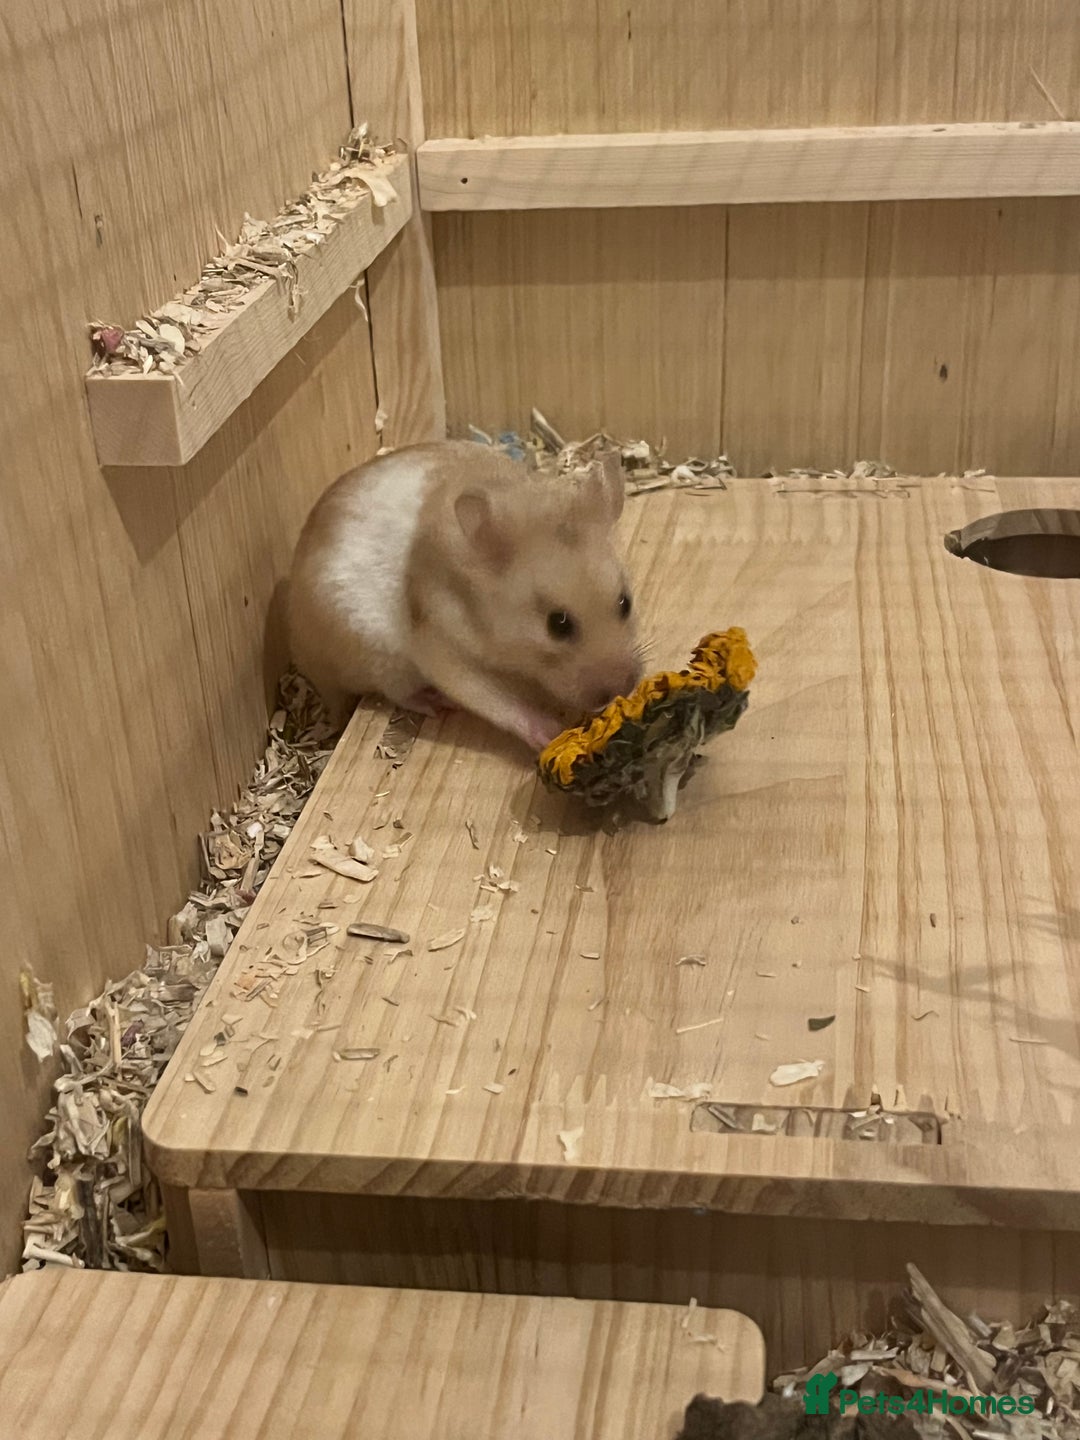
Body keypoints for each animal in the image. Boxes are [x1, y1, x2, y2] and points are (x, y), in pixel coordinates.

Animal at [288, 440, 644, 751]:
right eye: (558, 624)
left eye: (625, 603)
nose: (623, 687)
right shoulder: (438, 644)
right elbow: (492, 698)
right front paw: (551, 732)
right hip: (375, 655)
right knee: (399, 691)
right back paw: (436, 702)